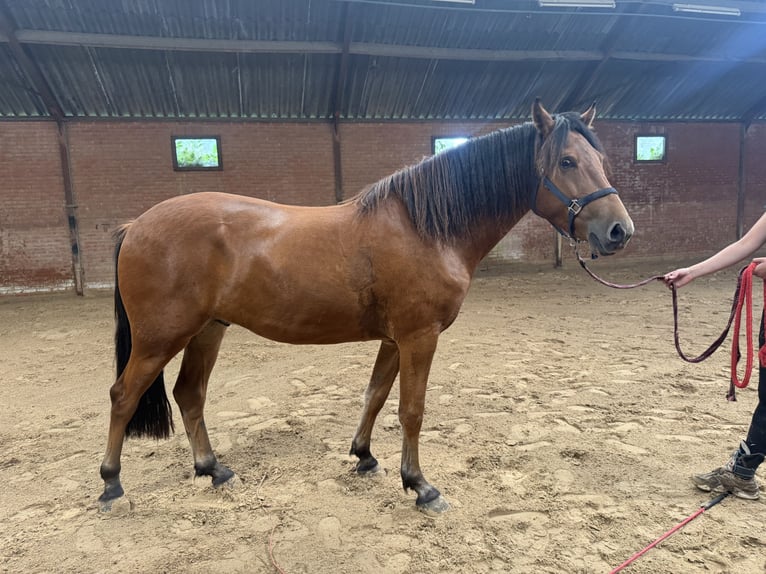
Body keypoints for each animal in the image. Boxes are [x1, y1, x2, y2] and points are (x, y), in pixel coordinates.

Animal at [98, 99, 634, 514]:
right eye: (567, 161)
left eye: (598, 158)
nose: (618, 231)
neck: (426, 228)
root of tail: (136, 226)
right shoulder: (420, 336)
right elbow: (412, 409)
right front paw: (421, 486)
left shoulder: (395, 339)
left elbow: (375, 395)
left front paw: (364, 457)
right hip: (161, 337)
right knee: (123, 396)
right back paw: (111, 485)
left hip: (208, 329)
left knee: (189, 394)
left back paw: (212, 470)